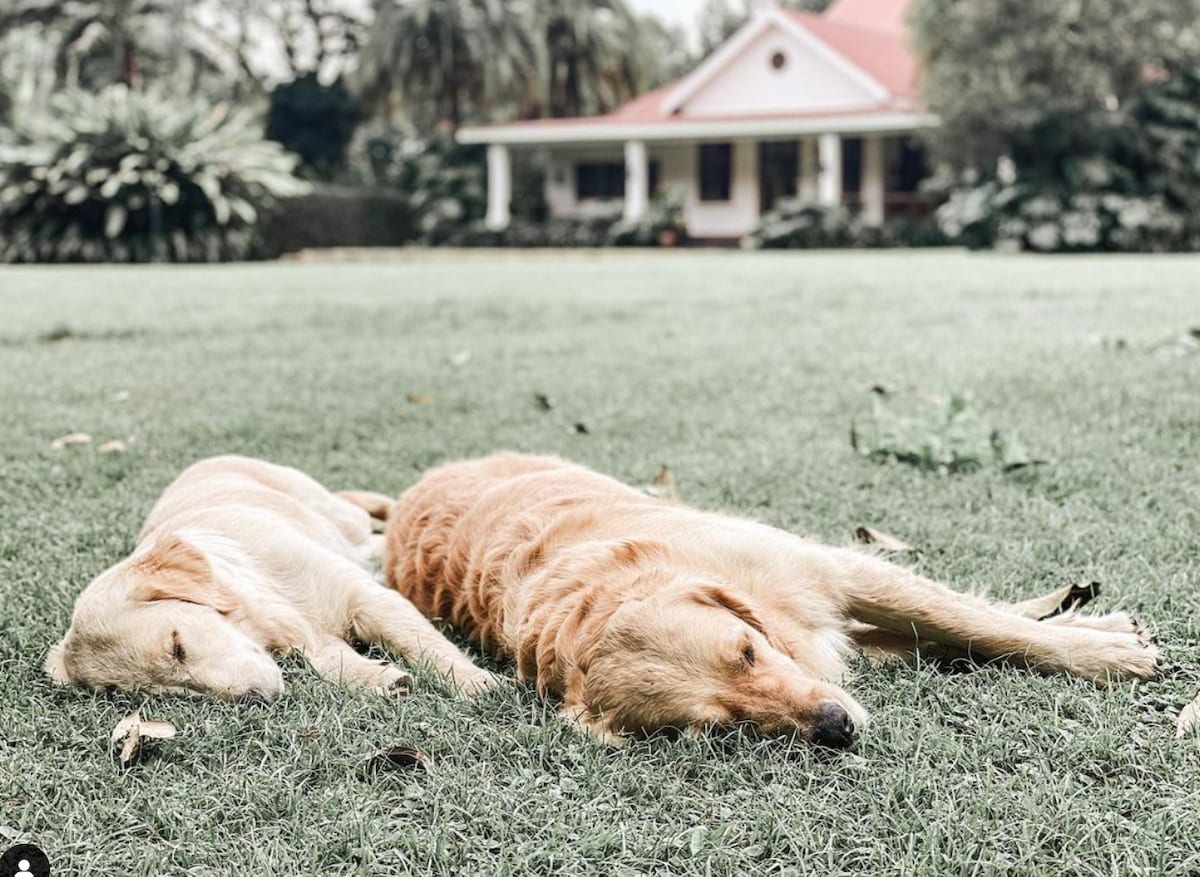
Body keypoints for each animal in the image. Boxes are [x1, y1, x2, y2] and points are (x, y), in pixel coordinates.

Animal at [46, 455, 496, 705]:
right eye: (163, 692)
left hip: (339, 518)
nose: (254, 701)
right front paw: (379, 678)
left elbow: (428, 647)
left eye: (177, 647)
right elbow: (330, 661)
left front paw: (477, 683)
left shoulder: (369, 598)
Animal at [367, 453, 1161, 748]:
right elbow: (954, 636)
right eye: (721, 728)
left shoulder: (832, 572)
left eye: (746, 650)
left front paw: (1103, 651)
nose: (835, 727)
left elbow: (985, 627)